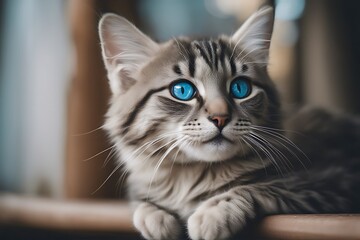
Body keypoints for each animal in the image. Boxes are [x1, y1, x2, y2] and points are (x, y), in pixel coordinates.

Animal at [97, 6, 360, 240]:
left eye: (240, 88)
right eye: (182, 90)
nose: (220, 117)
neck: (191, 176)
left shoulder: (335, 178)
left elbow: (264, 186)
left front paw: (214, 211)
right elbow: (140, 199)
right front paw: (153, 215)